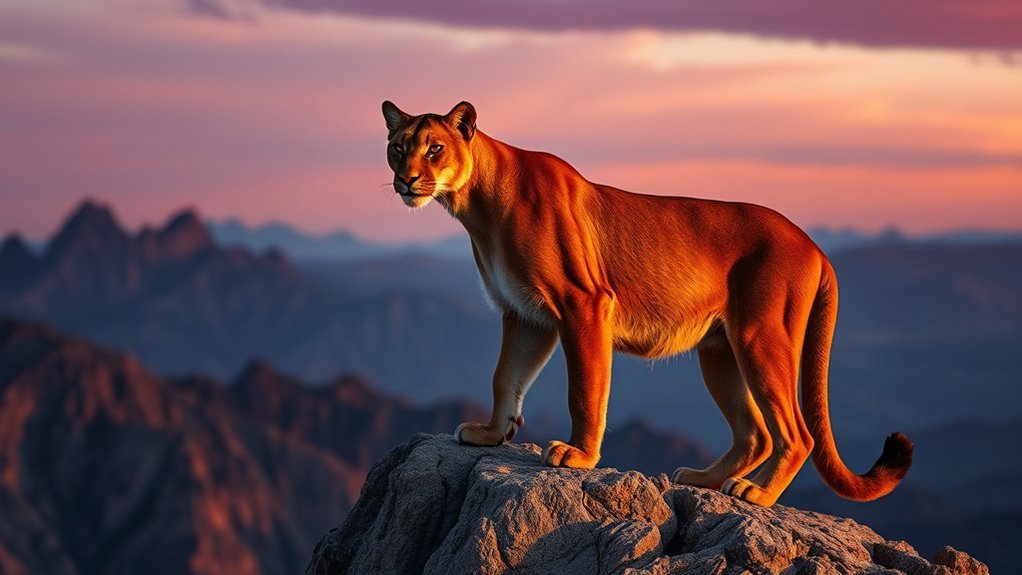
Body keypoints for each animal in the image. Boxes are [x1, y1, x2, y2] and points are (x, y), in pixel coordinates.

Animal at [381, 100, 912, 506]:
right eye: (397, 147)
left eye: (435, 148)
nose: (406, 180)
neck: (478, 206)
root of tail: (815, 246)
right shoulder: (526, 315)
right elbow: (504, 377)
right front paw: (492, 433)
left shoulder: (583, 303)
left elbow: (585, 389)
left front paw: (578, 456)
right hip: (719, 351)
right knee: (756, 433)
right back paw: (703, 479)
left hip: (760, 337)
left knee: (797, 434)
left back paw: (755, 494)